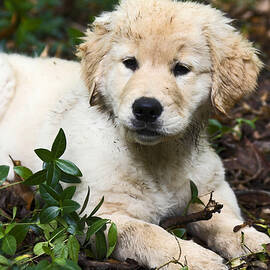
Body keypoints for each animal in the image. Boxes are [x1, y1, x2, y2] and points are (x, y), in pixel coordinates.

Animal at [0, 0, 268, 270]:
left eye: (182, 68)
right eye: (130, 63)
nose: (146, 109)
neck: (158, 155)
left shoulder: (211, 187)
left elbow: (226, 220)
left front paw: (254, 241)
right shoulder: (99, 213)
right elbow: (148, 233)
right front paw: (192, 259)